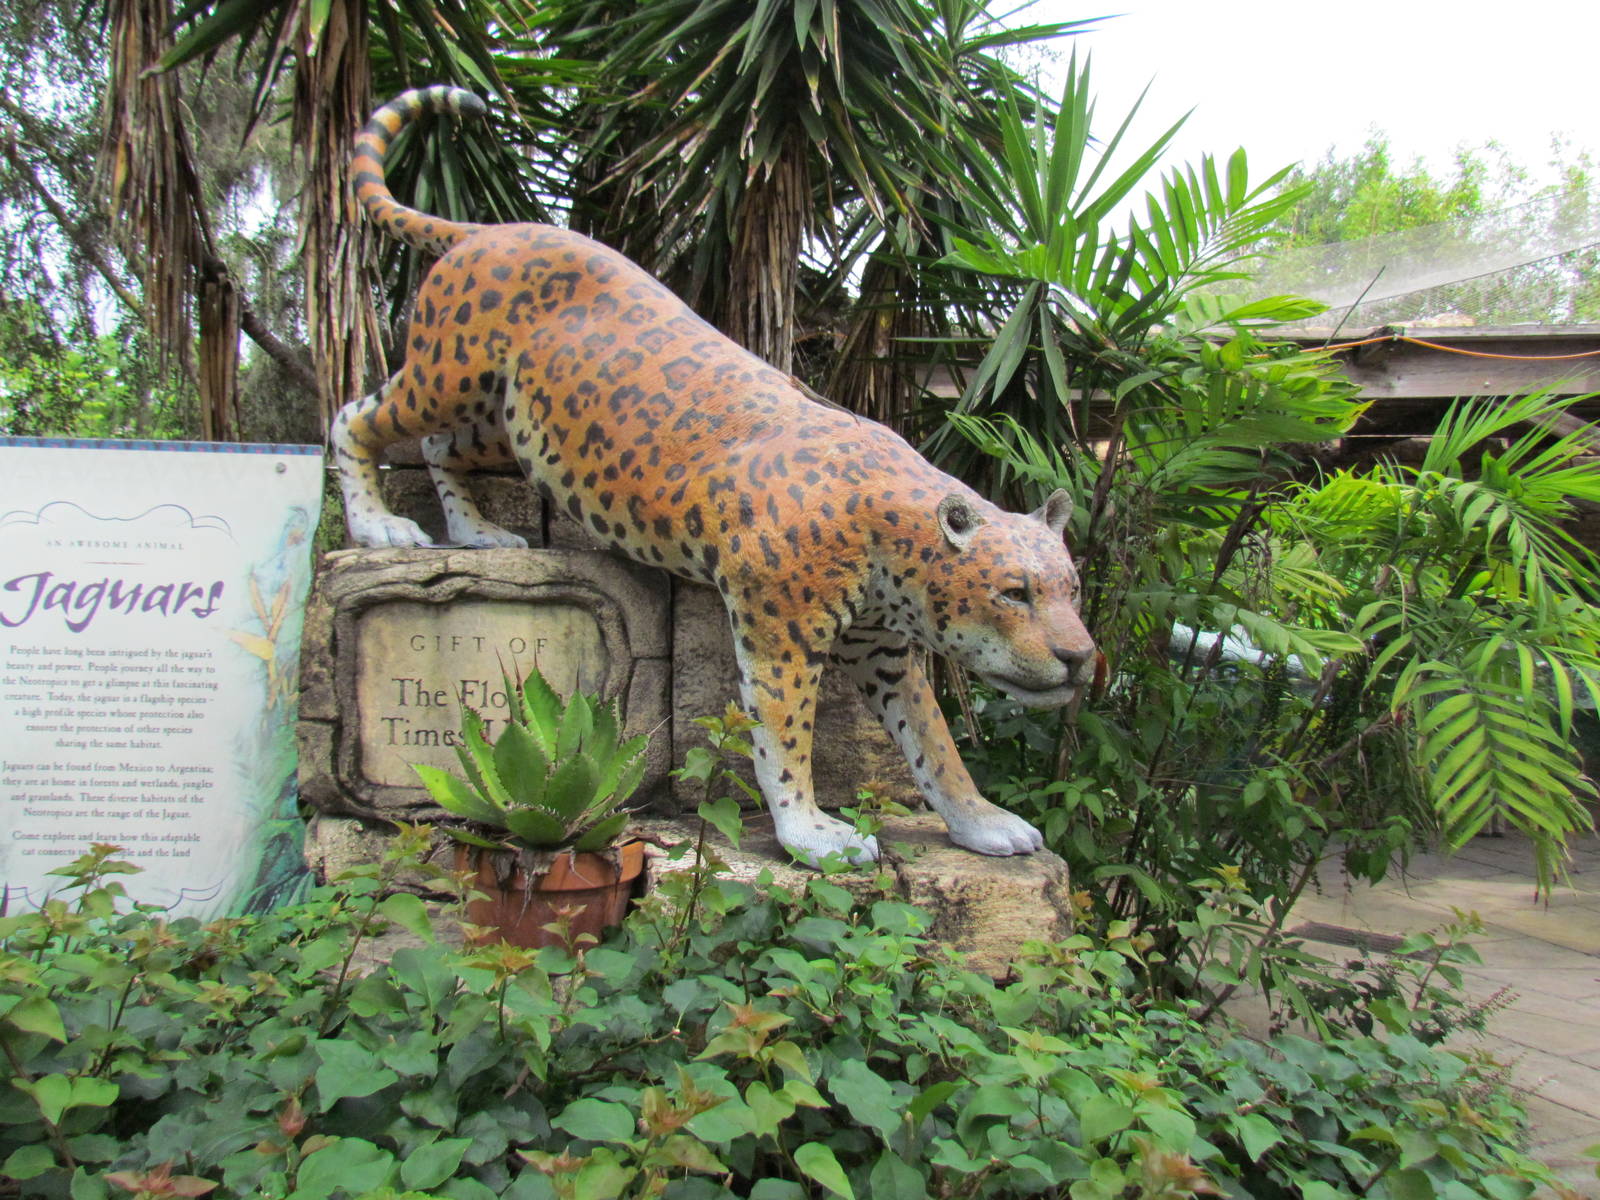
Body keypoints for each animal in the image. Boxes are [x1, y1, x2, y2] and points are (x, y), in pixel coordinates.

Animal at [332, 86, 1098, 867]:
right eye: (1013, 592)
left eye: (1071, 590)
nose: (1079, 659)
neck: (897, 549)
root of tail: (488, 228)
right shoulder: (779, 631)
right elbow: (784, 737)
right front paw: (812, 834)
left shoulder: (885, 651)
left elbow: (934, 742)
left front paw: (981, 820)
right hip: (449, 373)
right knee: (357, 416)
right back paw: (380, 525)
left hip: (507, 417)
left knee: (439, 448)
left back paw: (478, 533)